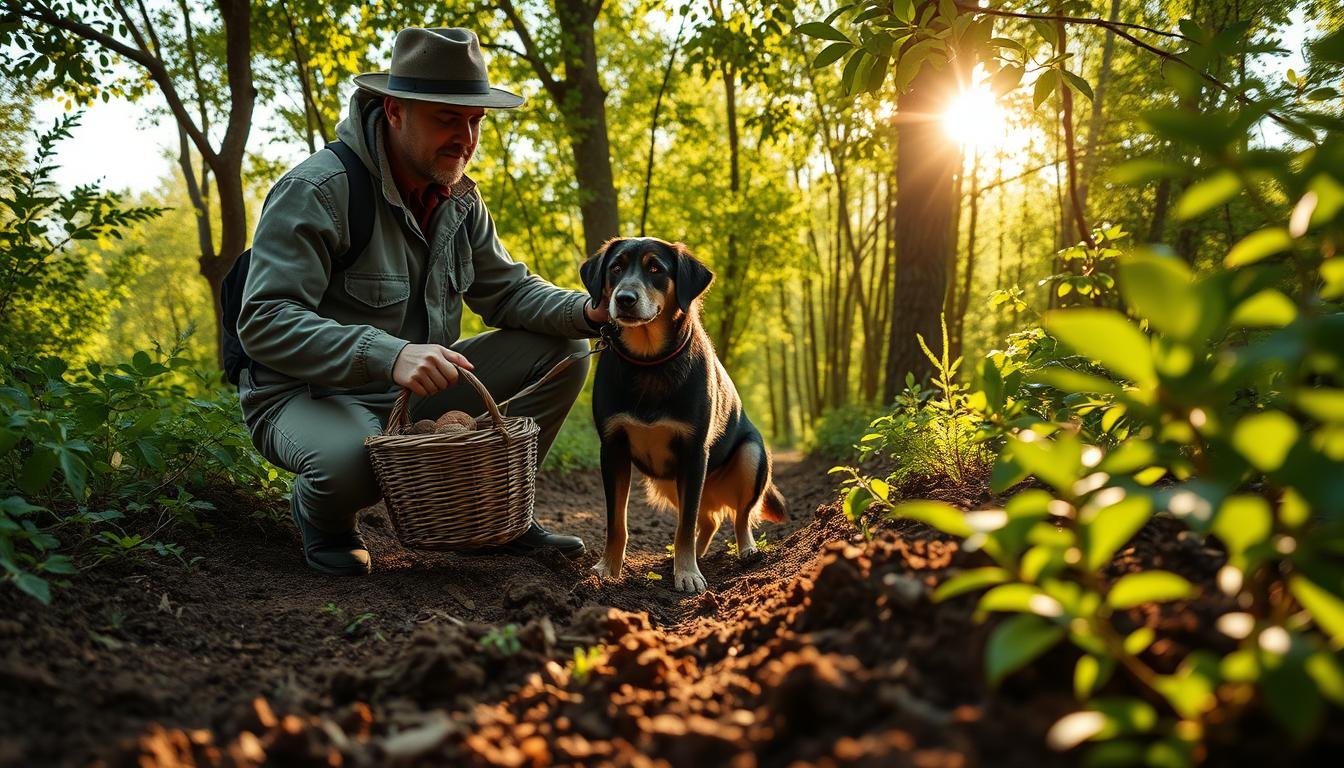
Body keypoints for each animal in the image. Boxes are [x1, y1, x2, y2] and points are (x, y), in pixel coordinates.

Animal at [580, 238, 784, 591]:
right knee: (711, 519)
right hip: (666, 483)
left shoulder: (693, 452)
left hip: (752, 457)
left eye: (655, 268)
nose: (624, 299)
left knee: (740, 515)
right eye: (616, 267)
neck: (649, 360)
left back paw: (746, 550)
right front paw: (608, 568)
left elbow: (684, 526)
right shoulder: (613, 448)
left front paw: (687, 573)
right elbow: (616, 521)